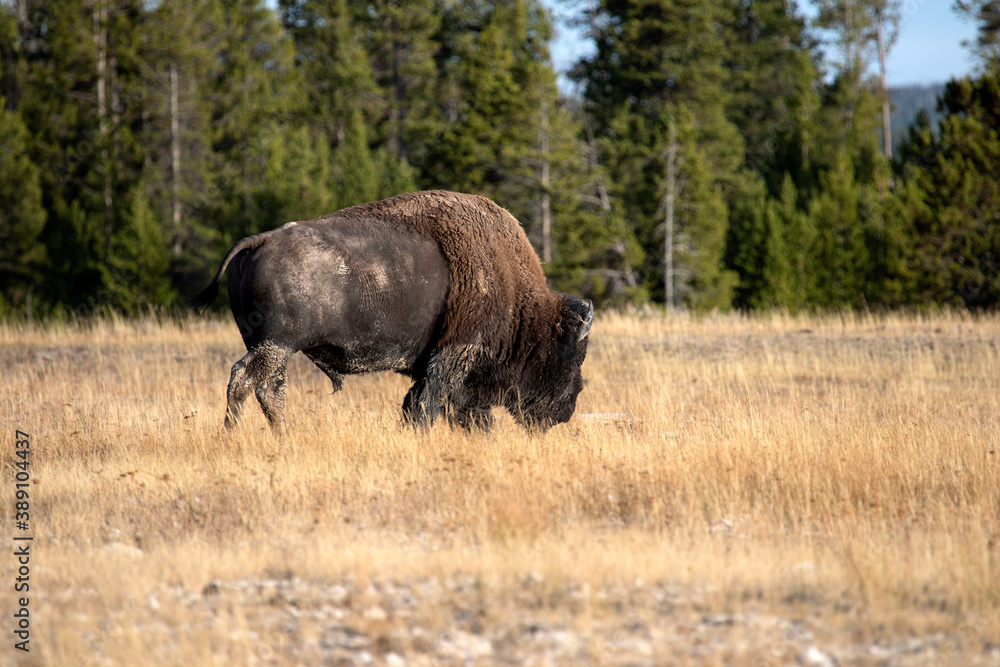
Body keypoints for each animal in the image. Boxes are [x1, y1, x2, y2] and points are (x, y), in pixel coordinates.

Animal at [191, 193, 588, 434]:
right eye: (572, 356)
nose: (565, 411)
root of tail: (260, 240)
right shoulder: (452, 358)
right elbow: (427, 406)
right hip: (277, 344)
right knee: (247, 380)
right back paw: (241, 435)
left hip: (272, 347)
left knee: (267, 388)